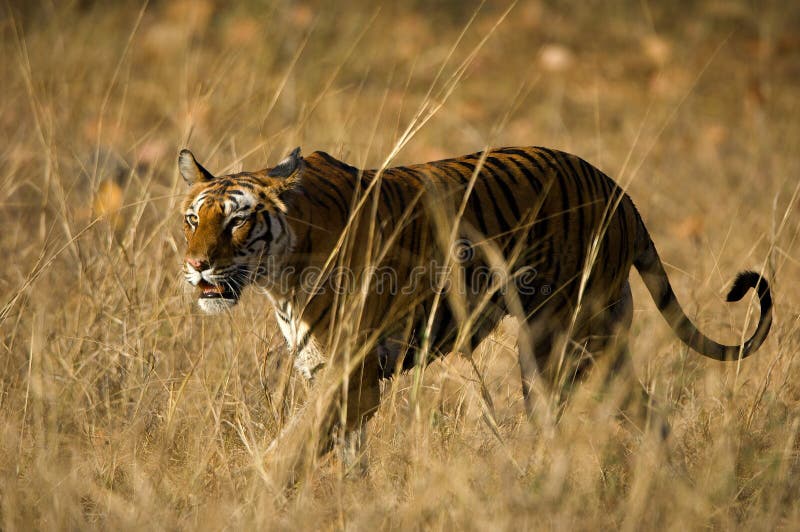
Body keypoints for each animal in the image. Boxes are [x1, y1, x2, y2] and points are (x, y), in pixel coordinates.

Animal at [180, 147, 768, 458]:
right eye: (192, 219)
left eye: (238, 221)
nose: (197, 266)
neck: (279, 274)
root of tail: (622, 196)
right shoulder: (323, 370)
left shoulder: (353, 374)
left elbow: (293, 446)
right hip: (592, 347)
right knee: (648, 416)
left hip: (564, 342)